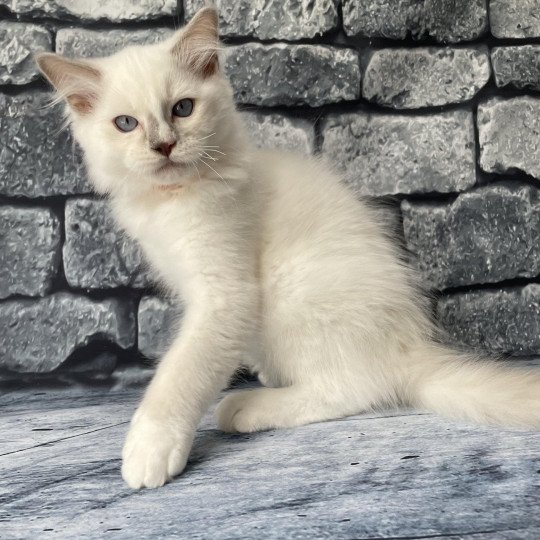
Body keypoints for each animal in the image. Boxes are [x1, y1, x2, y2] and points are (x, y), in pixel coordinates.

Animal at [35, 7, 536, 490]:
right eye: (126, 124)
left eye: (183, 108)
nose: (164, 145)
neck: (173, 200)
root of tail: (408, 349)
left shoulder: (226, 296)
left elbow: (180, 375)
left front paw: (150, 449)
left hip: (295, 291)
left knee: (354, 389)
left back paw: (247, 407)